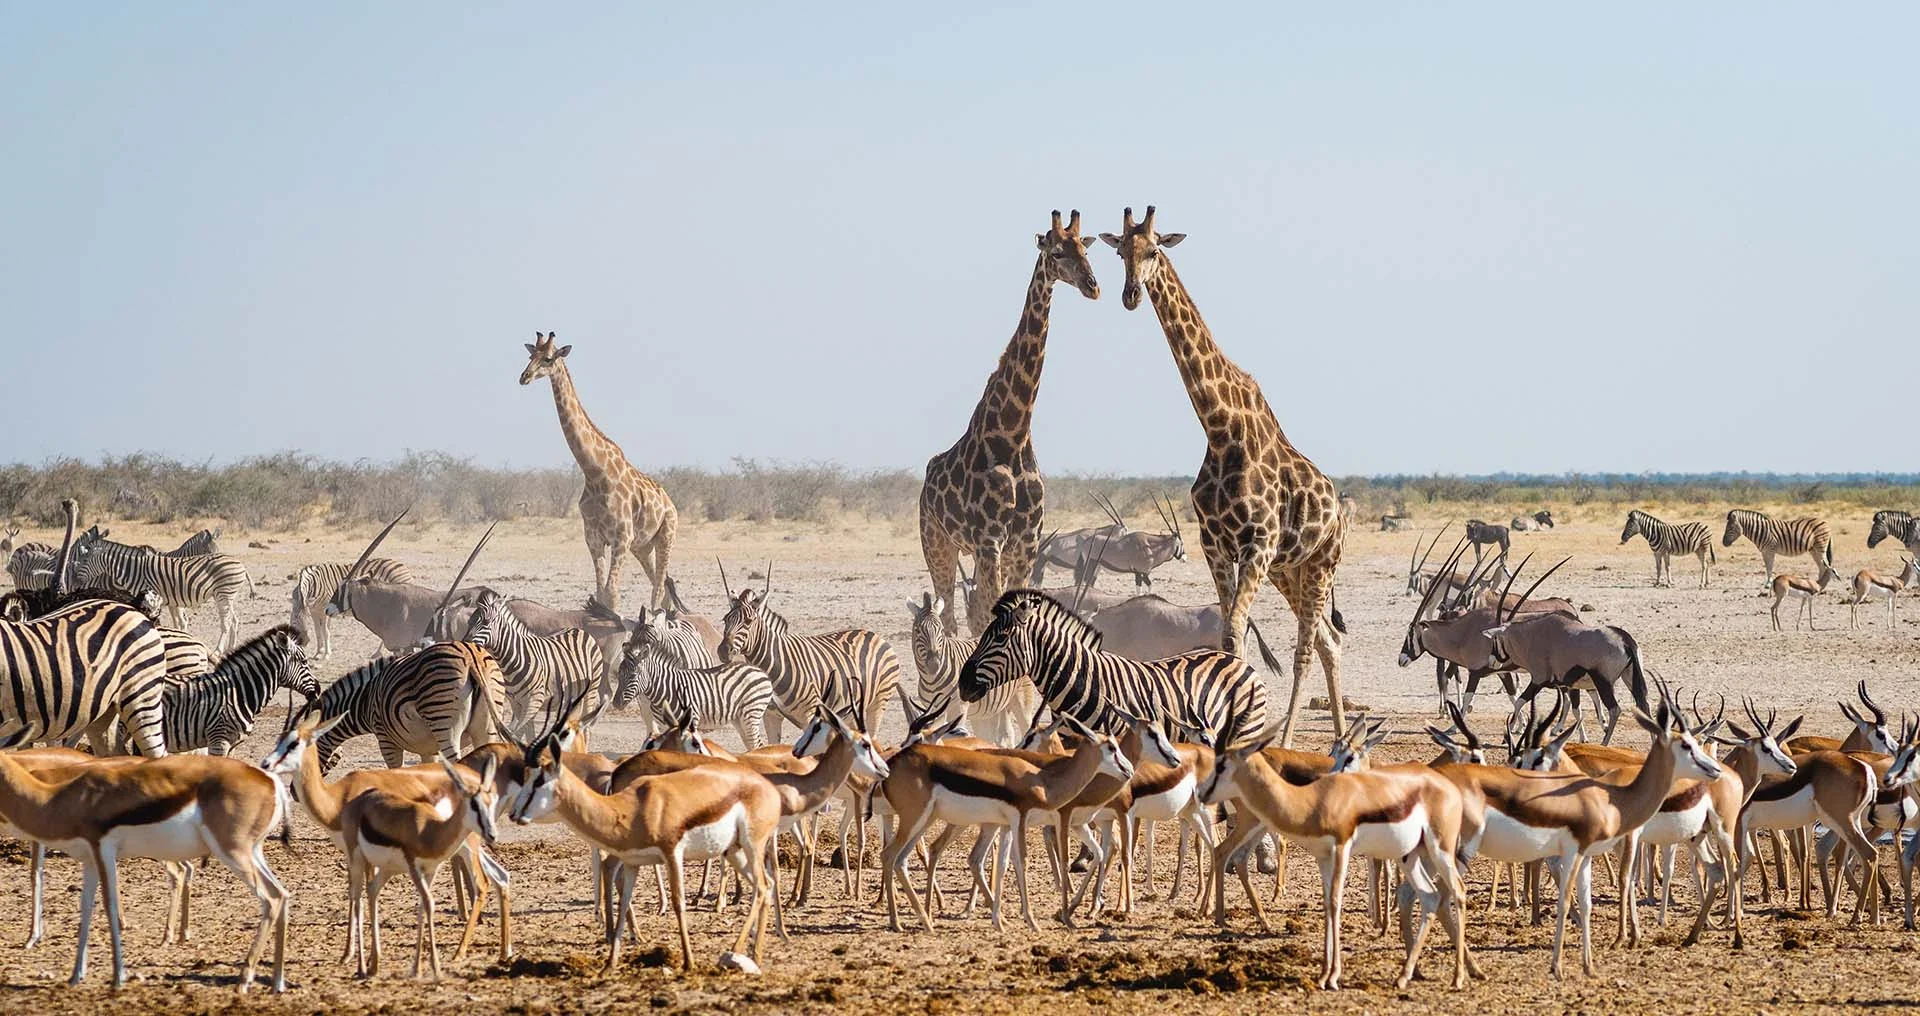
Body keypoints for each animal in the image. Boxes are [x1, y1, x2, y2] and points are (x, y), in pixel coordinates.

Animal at [519, 332, 678, 613]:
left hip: (666, 536)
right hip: (643, 546)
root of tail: (670, 503)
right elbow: (601, 593)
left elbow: (612, 594)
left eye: (548, 358)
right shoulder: (593, 539)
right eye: (530, 355)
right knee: (663, 586)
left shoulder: (621, 538)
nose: (524, 377)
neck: (595, 473)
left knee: (658, 588)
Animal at [920, 210, 1100, 634]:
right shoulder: (989, 541)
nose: (1093, 286)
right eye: (1056, 252)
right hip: (937, 542)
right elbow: (987, 611)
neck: (1013, 434)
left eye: (1085, 249)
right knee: (949, 614)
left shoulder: (1027, 544)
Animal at [1101, 207, 1347, 747]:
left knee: (1307, 646)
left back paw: (1289, 740)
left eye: (1155, 250)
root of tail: (1340, 510)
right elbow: (1227, 635)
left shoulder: (1256, 543)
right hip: (1288, 570)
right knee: (1329, 641)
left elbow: (1235, 632)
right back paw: (1341, 738)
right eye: (1120, 251)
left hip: (1320, 563)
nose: (1130, 295)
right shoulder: (1216, 544)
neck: (1219, 427)